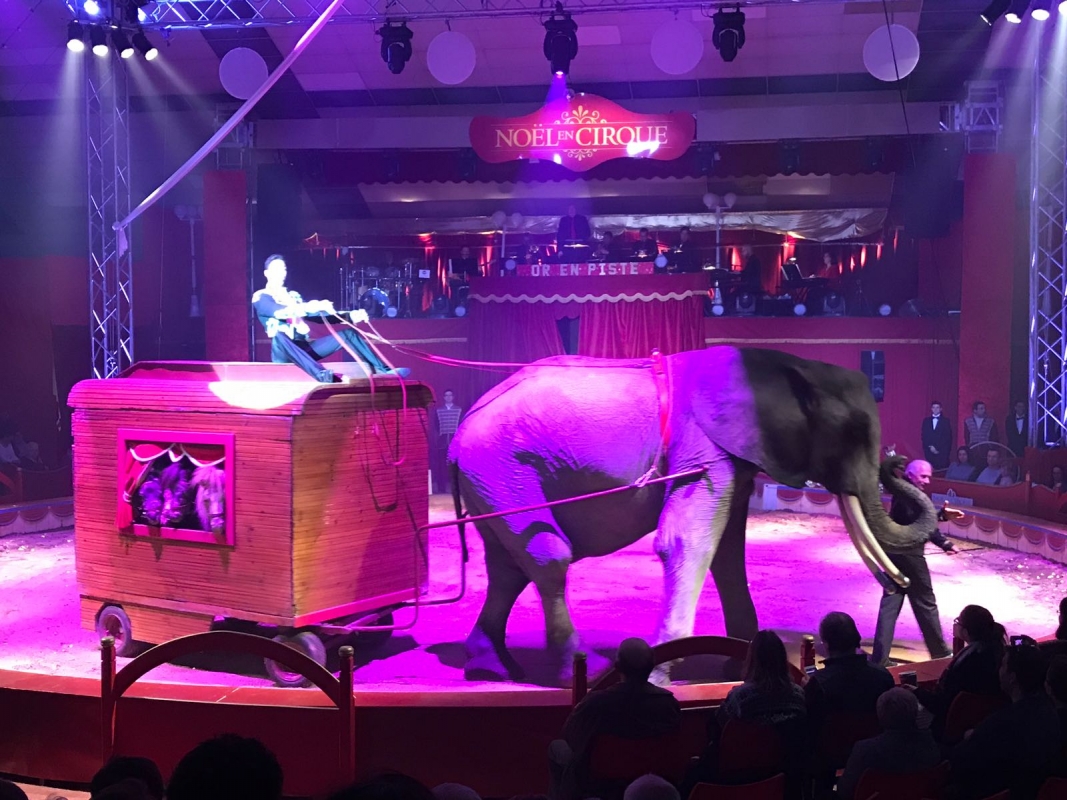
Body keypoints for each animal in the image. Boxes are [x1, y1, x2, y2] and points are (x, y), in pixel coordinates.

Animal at [448, 347, 936, 682]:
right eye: (854, 432)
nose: (897, 462)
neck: (785, 365)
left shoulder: (731, 458)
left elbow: (729, 553)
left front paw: (739, 666)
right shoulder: (703, 449)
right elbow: (688, 540)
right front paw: (663, 671)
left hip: (495, 483)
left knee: (508, 566)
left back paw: (493, 667)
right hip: (502, 470)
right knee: (547, 556)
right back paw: (578, 669)